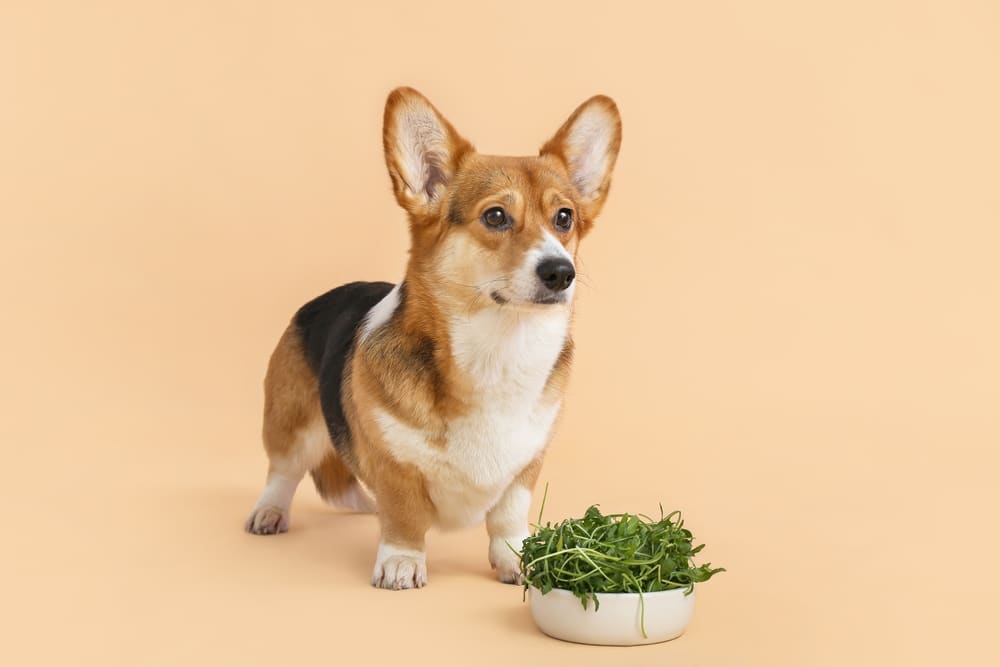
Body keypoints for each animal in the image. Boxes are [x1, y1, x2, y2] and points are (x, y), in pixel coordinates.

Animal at [246, 87, 620, 588]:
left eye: (565, 217)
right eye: (496, 216)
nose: (561, 272)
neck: (498, 350)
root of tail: (325, 296)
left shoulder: (526, 464)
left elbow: (508, 518)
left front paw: (517, 560)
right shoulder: (394, 465)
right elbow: (403, 515)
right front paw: (401, 563)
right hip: (292, 423)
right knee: (283, 473)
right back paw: (269, 513)